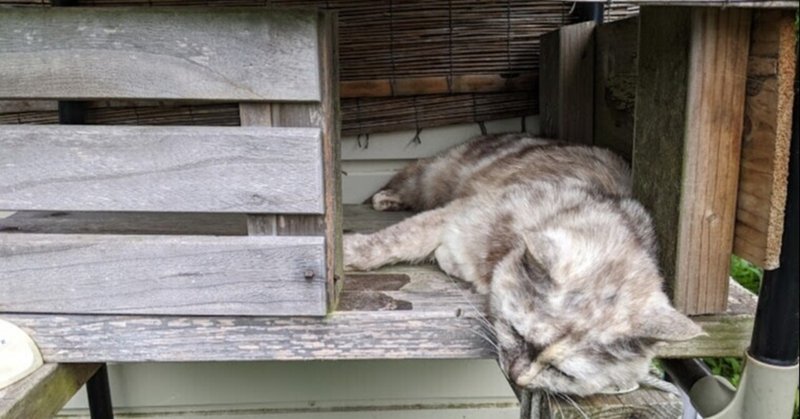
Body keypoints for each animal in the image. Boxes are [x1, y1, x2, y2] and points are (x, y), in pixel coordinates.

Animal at [344, 134, 700, 398]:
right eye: (518, 333)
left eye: (561, 372)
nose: (518, 378)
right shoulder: (456, 215)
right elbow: (398, 240)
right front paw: (352, 252)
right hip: (437, 174)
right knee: (412, 180)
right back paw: (387, 198)